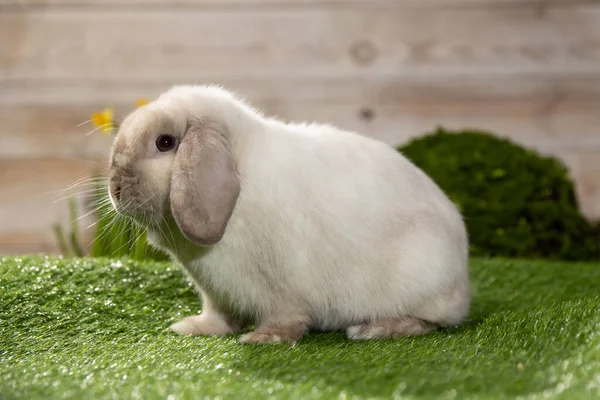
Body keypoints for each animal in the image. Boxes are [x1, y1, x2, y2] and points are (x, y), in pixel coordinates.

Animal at [109, 85, 474, 344]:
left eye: (165, 142)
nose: (115, 188)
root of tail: (462, 283)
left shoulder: (280, 287)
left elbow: (284, 318)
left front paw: (263, 338)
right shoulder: (215, 292)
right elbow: (218, 316)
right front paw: (192, 328)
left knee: (427, 322)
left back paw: (373, 329)